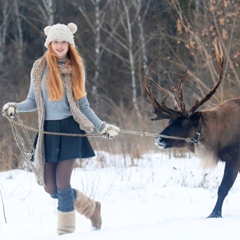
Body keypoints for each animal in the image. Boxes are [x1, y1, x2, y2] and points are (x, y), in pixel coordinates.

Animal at [143, 42, 240, 218]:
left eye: (184, 123)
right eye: (170, 120)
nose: (158, 139)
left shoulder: (234, 158)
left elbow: (222, 188)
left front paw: (214, 214)